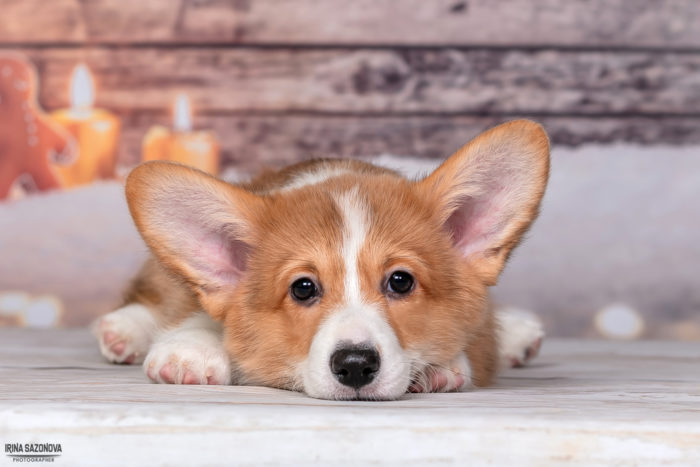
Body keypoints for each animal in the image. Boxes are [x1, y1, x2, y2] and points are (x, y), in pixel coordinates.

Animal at [95, 119, 548, 400]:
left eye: (400, 281)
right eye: (303, 288)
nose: (355, 365)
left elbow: (478, 341)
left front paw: (442, 368)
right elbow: (199, 314)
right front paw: (189, 350)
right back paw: (123, 330)